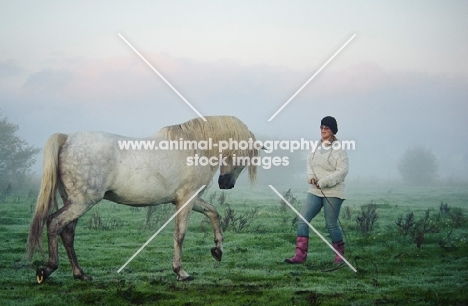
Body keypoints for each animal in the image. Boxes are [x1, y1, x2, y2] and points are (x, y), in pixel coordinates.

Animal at [27, 116, 258, 282]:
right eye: (244, 154)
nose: (226, 183)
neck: (194, 146)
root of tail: (67, 139)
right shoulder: (187, 199)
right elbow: (180, 234)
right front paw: (180, 272)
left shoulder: (190, 199)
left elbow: (213, 213)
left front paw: (217, 250)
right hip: (82, 203)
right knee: (54, 223)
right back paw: (47, 269)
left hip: (74, 202)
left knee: (67, 233)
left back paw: (80, 274)